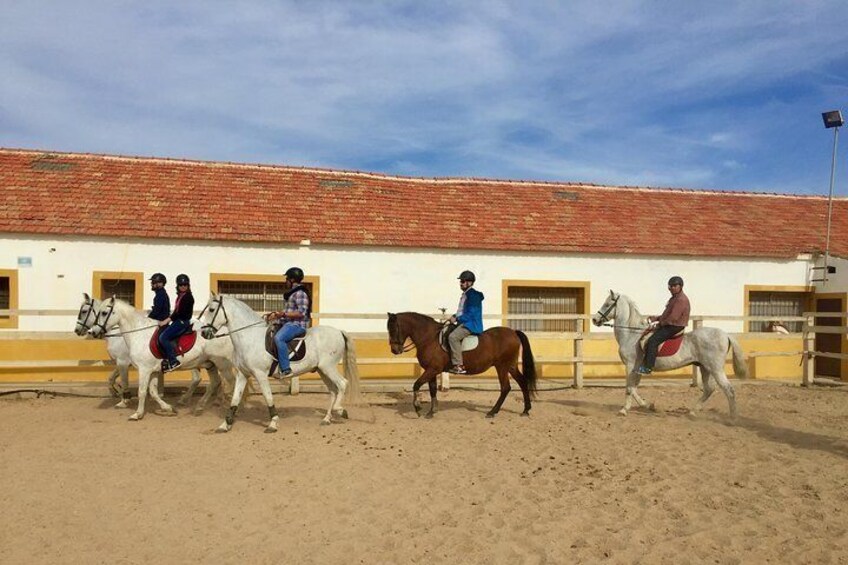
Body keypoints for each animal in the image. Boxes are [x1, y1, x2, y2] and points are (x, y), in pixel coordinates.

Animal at [90, 298, 237, 420]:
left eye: (104, 313)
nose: (93, 331)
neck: (139, 333)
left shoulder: (143, 369)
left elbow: (142, 391)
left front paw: (137, 414)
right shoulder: (154, 371)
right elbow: (153, 392)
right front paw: (169, 408)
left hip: (223, 364)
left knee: (232, 382)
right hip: (210, 364)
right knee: (215, 382)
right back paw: (199, 407)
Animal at [200, 294, 360, 430]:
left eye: (211, 309)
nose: (203, 333)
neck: (250, 337)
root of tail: (339, 331)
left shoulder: (260, 374)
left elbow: (268, 397)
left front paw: (273, 423)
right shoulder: (242, 374)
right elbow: (235, 399)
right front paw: (225, 424)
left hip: (329, 367)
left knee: (342, 384)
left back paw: (340, 410)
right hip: (322, 370)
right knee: (333, 390)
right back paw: (327, 419)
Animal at [386, 310, 536, 416]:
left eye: (394, 329)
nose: (394, 350)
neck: (429, 338)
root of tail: (513, 332)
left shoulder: (433, 369)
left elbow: (416, 384)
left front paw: (417, 408)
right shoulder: (431, 370)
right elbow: (432, 389)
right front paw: (432, 411)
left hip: (502, 367)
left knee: (505, 387)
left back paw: (493, 412)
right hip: (511, 366)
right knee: (522, 382)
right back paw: (526, 410)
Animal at [592, 290, 744, 418]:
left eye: (607, 304)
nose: (594, 320)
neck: (631, 334)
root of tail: (725, 334)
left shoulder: (630, 365)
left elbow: (630, 388)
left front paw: (626, 410)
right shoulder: (637, 368)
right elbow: (634, 387)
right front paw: (648, 406)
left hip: (715, 368)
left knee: (728, 389)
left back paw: (733, 418)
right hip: (704, 367)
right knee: (709, 389)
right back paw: (692, 412)